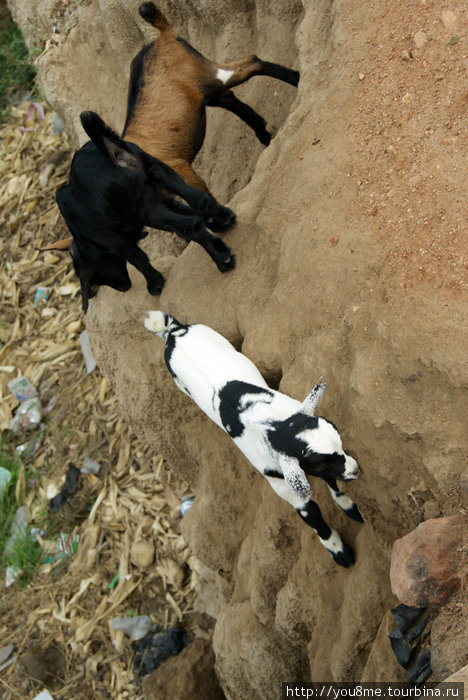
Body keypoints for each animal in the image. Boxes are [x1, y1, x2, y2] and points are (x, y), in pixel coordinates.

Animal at [144, 312, 364, 568]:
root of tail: (174, 332)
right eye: (321, 463)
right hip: (180, 384)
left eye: (340, 442)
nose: (356, 470)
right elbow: (313, 517)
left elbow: (333, 483)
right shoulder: (285, 486)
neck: (273, 427)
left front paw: (351, 508)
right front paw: (339, 551)